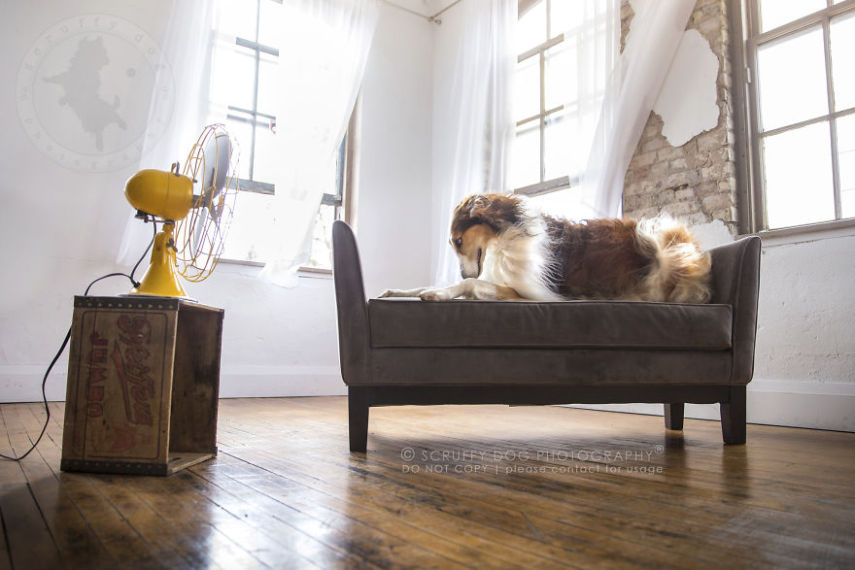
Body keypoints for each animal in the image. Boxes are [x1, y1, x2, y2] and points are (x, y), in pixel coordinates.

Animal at [382, 193, 716, 302]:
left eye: (459, 241)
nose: (464, 272)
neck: (503, 236)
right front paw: (395, 291)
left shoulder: (524, 293)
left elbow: (468, 285)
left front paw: (438, 294)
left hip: (663, 243)